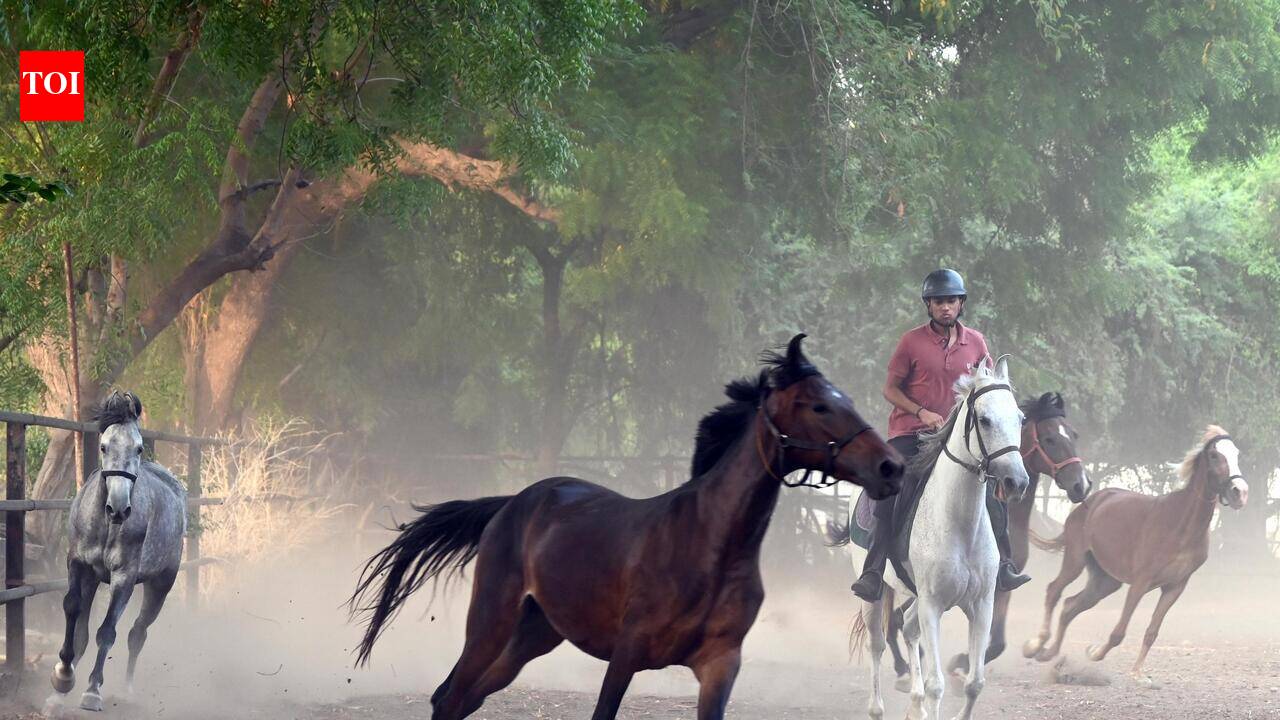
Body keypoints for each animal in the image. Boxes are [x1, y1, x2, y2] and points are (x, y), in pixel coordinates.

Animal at [48, 391, 188, 712]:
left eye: (138, 448)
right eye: (103, 446)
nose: (119, 508)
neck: (106, 524)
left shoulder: (124, 578)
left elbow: (107, 632)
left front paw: (92, 691)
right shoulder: (78, 564)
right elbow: (73, 612)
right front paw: (62, 679)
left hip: (160, 585)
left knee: (137, 634)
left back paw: (127, 690)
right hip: (94, 580)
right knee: (86, 632)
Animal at [349, 334, 905, 720]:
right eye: (819, 404)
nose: (890, 467)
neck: (709, 545)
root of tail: (515, 503)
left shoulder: (720, 665)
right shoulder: (626, 655)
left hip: (532, 635)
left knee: (462, 699)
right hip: (490, 621)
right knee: (450, 699)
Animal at [1023, 425, 1247, 678]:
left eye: (1237, 454)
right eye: (1215, 455)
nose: (1240, 492)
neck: (1180, 523)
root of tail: (1089, 503)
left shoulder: (1175, 587)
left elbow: (1152, 632)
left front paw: (1138, 672)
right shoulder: (1140, 582)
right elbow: (1118, 632)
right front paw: (1096, 653)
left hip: (1105, 581)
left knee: (1070, 606)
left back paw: (1048, 654)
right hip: (1075, 559)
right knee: (1054, 591)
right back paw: (1035, 645)